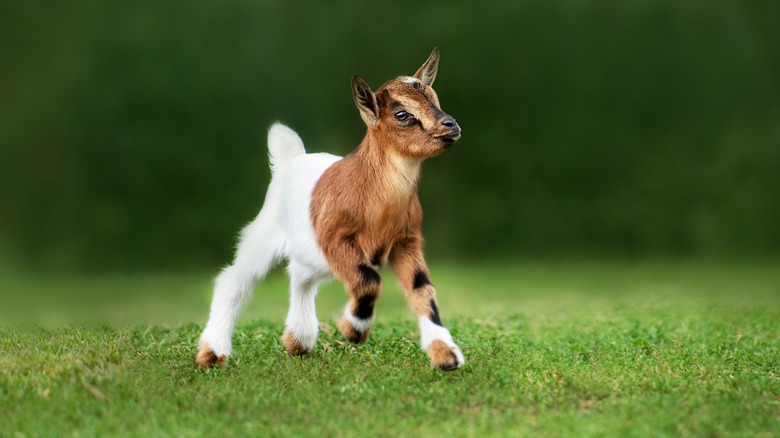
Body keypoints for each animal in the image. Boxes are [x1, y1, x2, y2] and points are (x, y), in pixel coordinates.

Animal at [198, 48, 464, 370]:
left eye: (435, 100)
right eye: (402, 114)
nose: (451, 125)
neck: (376, 199)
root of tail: (291, 160)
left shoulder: (405, 241)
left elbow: (422, 289)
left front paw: (446, 355)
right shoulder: (335, 239)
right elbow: (369, 281)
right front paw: (353, 330)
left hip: (313, 254)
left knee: (300, 275)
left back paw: (298, 340)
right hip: (266, 234)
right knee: (234, 280)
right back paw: (212, 353)